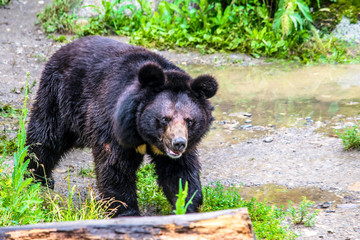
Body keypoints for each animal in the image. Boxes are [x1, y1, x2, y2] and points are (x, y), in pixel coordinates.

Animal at [26, 36, 218, 218]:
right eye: (165, 119)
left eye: (189, 121)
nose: (178, 144)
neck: (143, 134)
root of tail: (66, 47)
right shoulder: (112, 124)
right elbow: (115, 167)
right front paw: (126, 212)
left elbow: (179, 173)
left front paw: (186, 206)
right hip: (60, 98)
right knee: (46, 137)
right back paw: (36, 177)